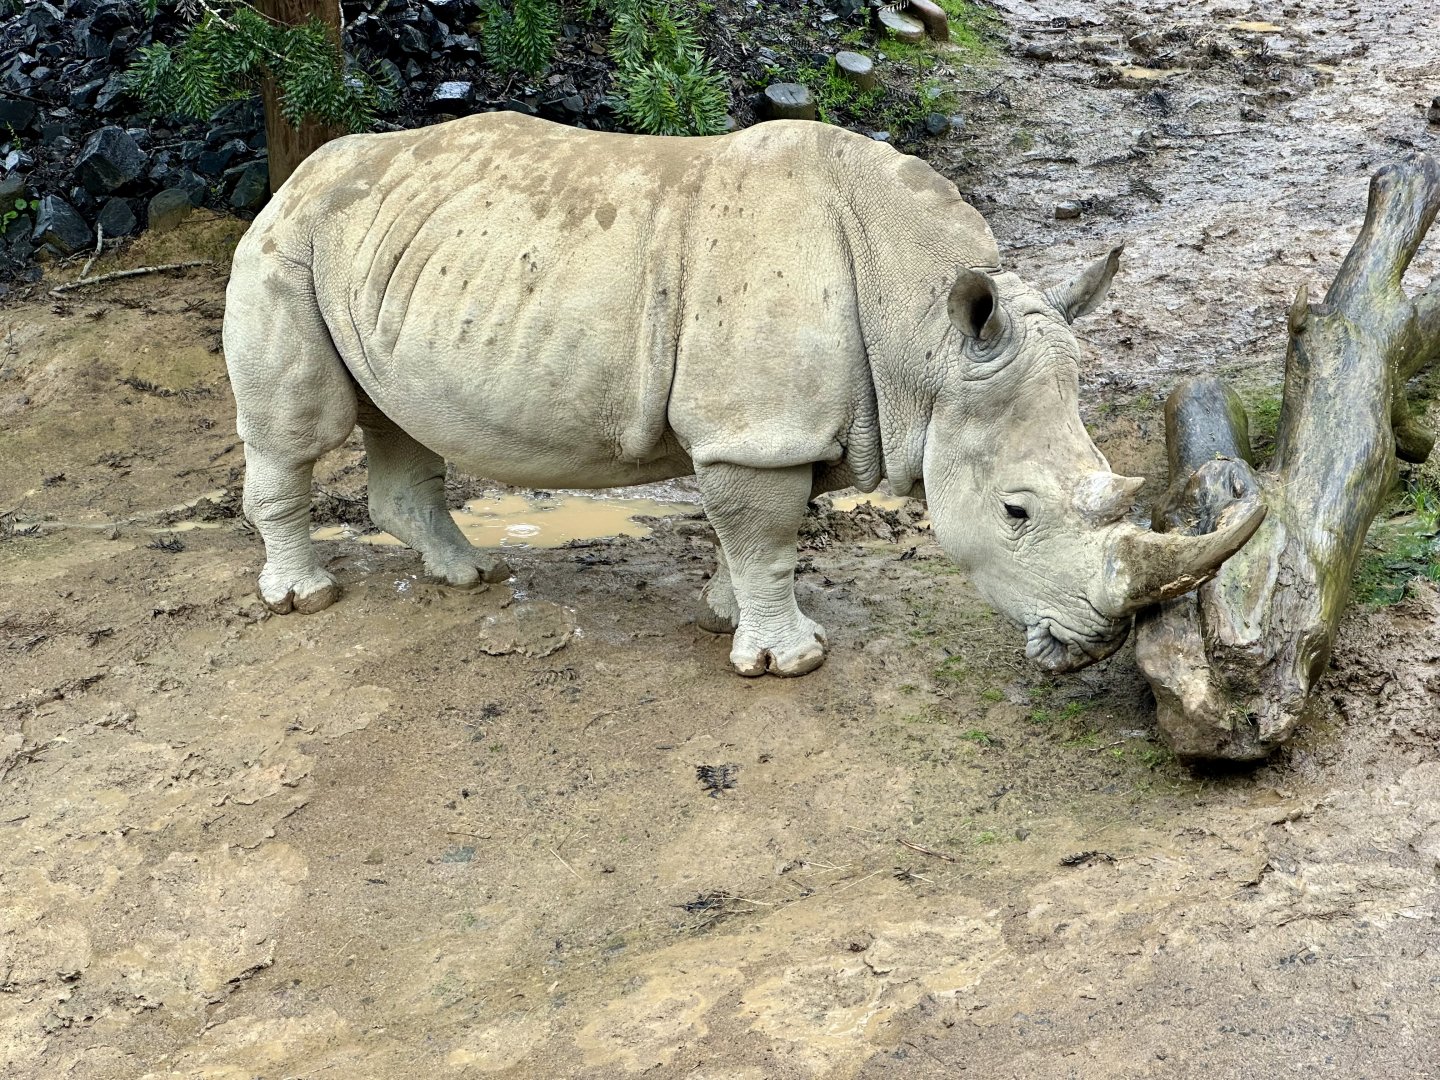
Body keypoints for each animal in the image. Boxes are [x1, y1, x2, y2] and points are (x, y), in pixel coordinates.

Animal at [223, 113, 1262, 676]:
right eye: (1015, 513)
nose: (1096, 645)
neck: (925, 337)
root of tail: (303, 169)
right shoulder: (753, 430)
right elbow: (766, 532)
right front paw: (787, 661)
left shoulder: (787, 424)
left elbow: (768, 529)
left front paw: (726, 614)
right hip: (286, 245)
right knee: (299, 429)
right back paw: (306, 598)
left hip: (382, 247)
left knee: (395, 416)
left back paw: (465, 574)